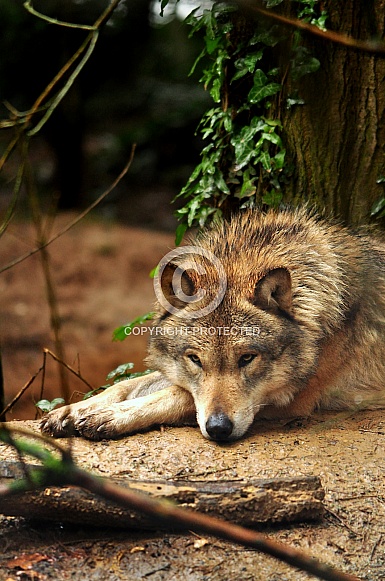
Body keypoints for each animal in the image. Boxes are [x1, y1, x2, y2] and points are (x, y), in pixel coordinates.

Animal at [40, 208, 384, 440]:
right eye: (195, 359)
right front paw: (70, 411)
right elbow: (127, 384)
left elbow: (176, 396)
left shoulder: (290, 398)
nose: (219, 429)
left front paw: (108, 416)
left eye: (247, 358)